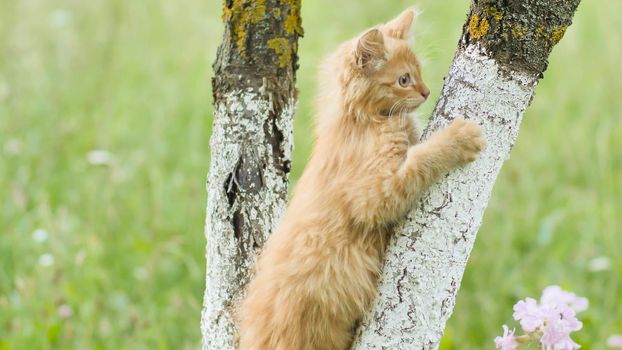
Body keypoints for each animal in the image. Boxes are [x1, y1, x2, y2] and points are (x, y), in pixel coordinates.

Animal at [239, 8, 488, 350]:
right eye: (404, 80)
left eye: (419, 73)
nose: (425, 92)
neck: (362, 121)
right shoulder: (371, 194)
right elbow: (419, 161)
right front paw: (458, 137)